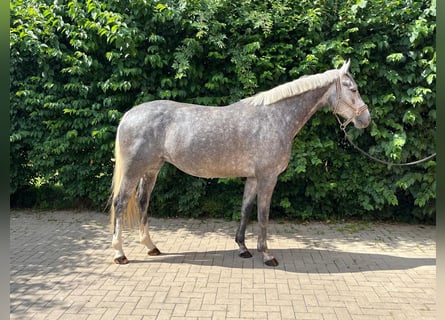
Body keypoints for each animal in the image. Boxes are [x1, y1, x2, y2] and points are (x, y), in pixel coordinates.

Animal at [109, 60, 370, 264]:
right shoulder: (268, 178)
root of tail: (129, 114)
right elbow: (263, 215)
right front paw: (267, 255)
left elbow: (245, 210)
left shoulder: (253, 177)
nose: (366, 119)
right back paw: (120, 254)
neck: (275, 117)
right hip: (133, 170)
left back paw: (150, 246)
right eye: (353, 89)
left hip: (151, 169)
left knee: (142, 201)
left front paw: (243, 248)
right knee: (120, 203)